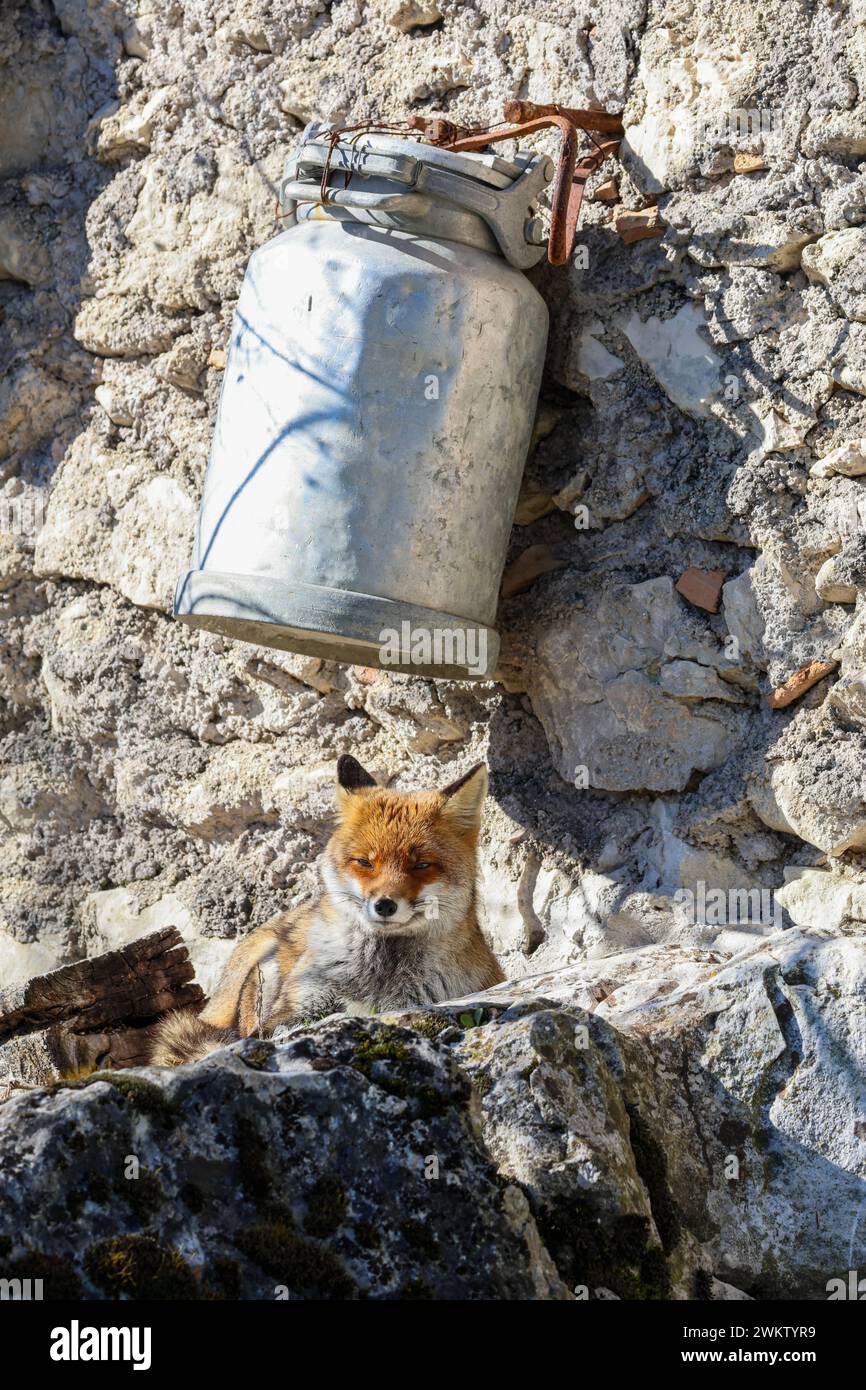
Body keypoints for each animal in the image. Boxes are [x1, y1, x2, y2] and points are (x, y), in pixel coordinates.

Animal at [149, 755, 503, 1065]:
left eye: (421, 865)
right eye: (364, 862)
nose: (384, 904)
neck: (379, 976)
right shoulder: (296, 1009)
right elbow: (280, 1028)